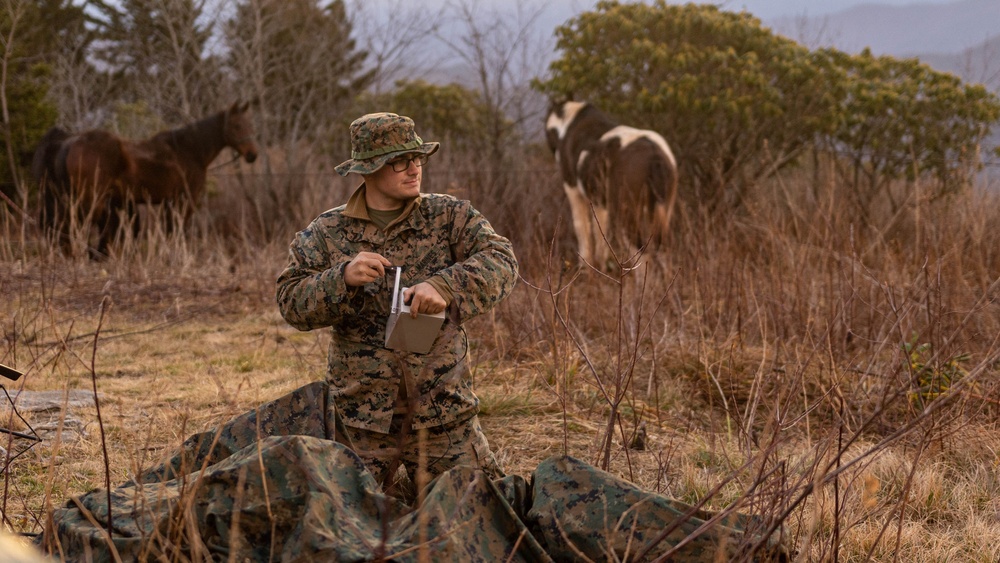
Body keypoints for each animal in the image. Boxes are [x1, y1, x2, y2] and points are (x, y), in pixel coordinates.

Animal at [34, 101, 260, 258]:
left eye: (250, 124)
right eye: (237, 125)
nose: (252, 155)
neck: (187, 150)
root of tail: (70, 142)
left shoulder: (169, 203)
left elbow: (170, 230)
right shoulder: (184, 200)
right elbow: (177, 230)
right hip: (90, 200)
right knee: (72, 225)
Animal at [548, 101, 680, 270]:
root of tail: (654, 156)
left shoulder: (572, 187)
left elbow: (582, 227)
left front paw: (587, 267)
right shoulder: (599, 200)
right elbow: (600, 230)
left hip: (627, 211)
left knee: (640, 248)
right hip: (663, 206)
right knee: (663, 247)